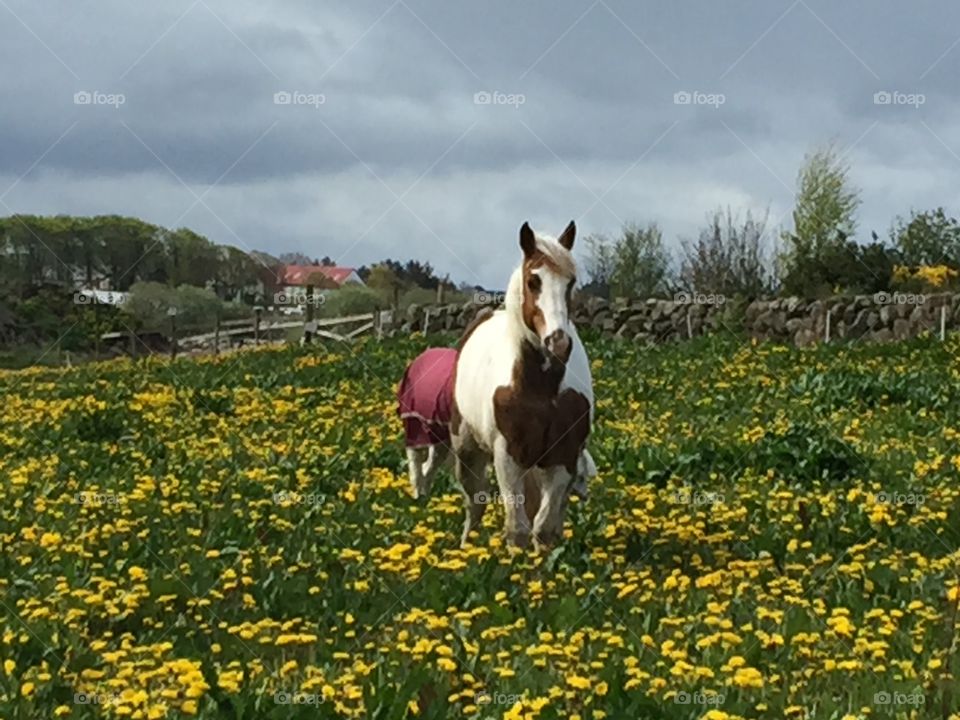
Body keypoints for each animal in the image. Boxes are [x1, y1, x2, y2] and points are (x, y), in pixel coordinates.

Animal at [450, 220, 594, 548]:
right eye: (533, 281)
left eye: (570, 282)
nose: (558, 343)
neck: (542, 388)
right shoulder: (508, 457)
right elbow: (518, 530)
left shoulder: (563, 456)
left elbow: (545, 528)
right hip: (468, 451)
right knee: (475, 504)